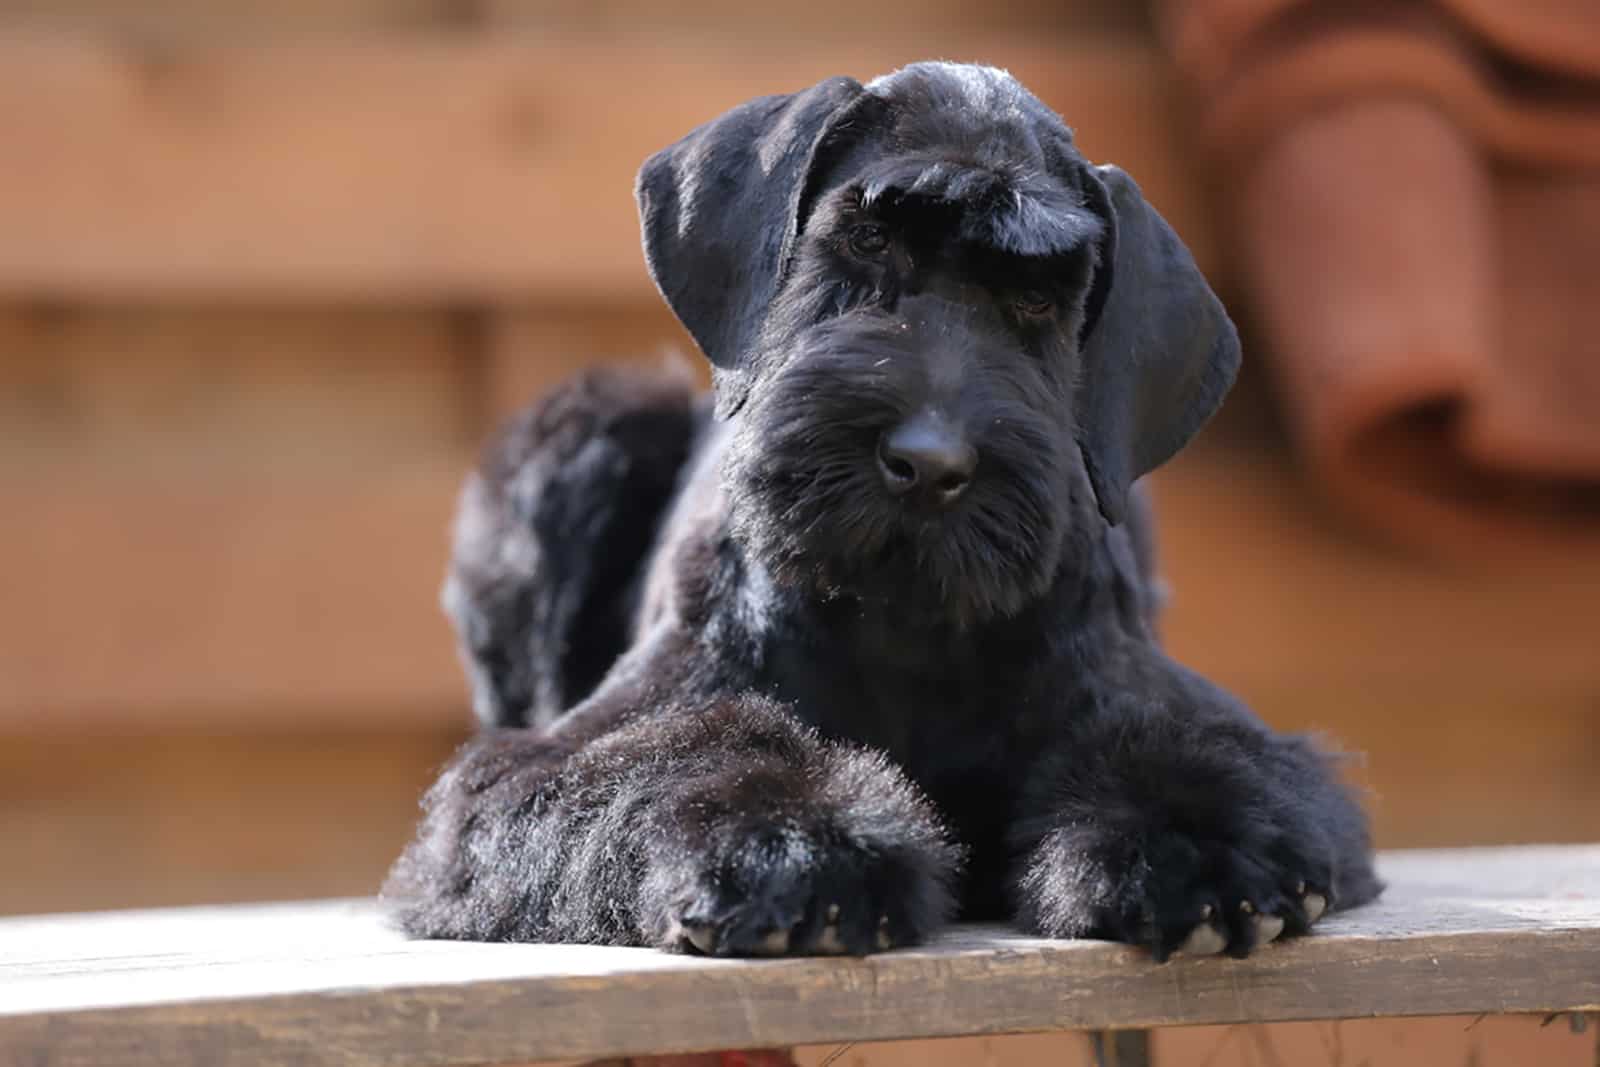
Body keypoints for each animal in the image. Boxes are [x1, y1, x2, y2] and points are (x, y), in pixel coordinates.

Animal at [380, 60, 1382, 959]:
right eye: (865, 239)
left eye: (1039, 296)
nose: (928, 463)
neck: (902, 624)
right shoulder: (552, 758)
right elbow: (673, 756)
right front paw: (789, 845)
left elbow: (1186, 752)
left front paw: (1195, 847)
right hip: (577, 439)